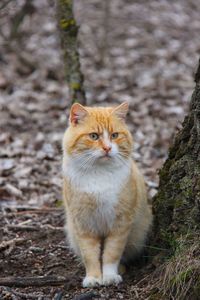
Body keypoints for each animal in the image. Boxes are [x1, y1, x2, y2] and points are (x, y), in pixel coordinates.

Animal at [61, 102, 152, 288]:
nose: (108, 148)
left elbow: (111, 253)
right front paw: (93, 278)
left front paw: (109, 276)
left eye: (114, 135)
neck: (99, 173)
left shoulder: (120, 223)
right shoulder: (83, 224)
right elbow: (90, 255)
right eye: (94, 136)